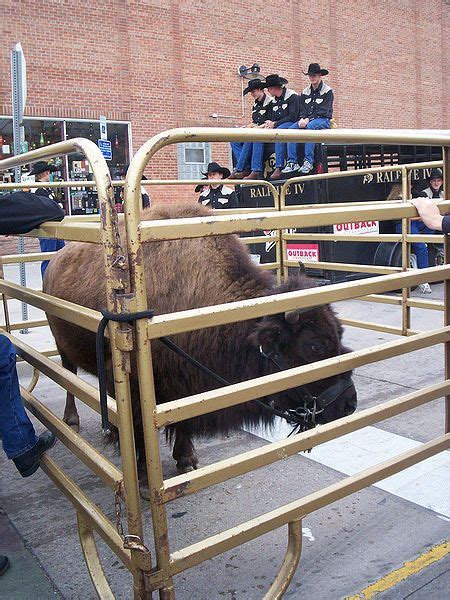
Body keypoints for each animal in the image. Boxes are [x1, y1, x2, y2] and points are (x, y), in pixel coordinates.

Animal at [44, 204, 356, 486]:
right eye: (314, 346)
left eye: (340, 332)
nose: (349, 404)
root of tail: (57, 259)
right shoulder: (134, 385)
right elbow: (139, 429)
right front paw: (143, 475)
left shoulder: (186, 382)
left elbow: (183, 422)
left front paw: (186, 460)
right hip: (63, 346)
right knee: (68, 376)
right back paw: (73, 421)